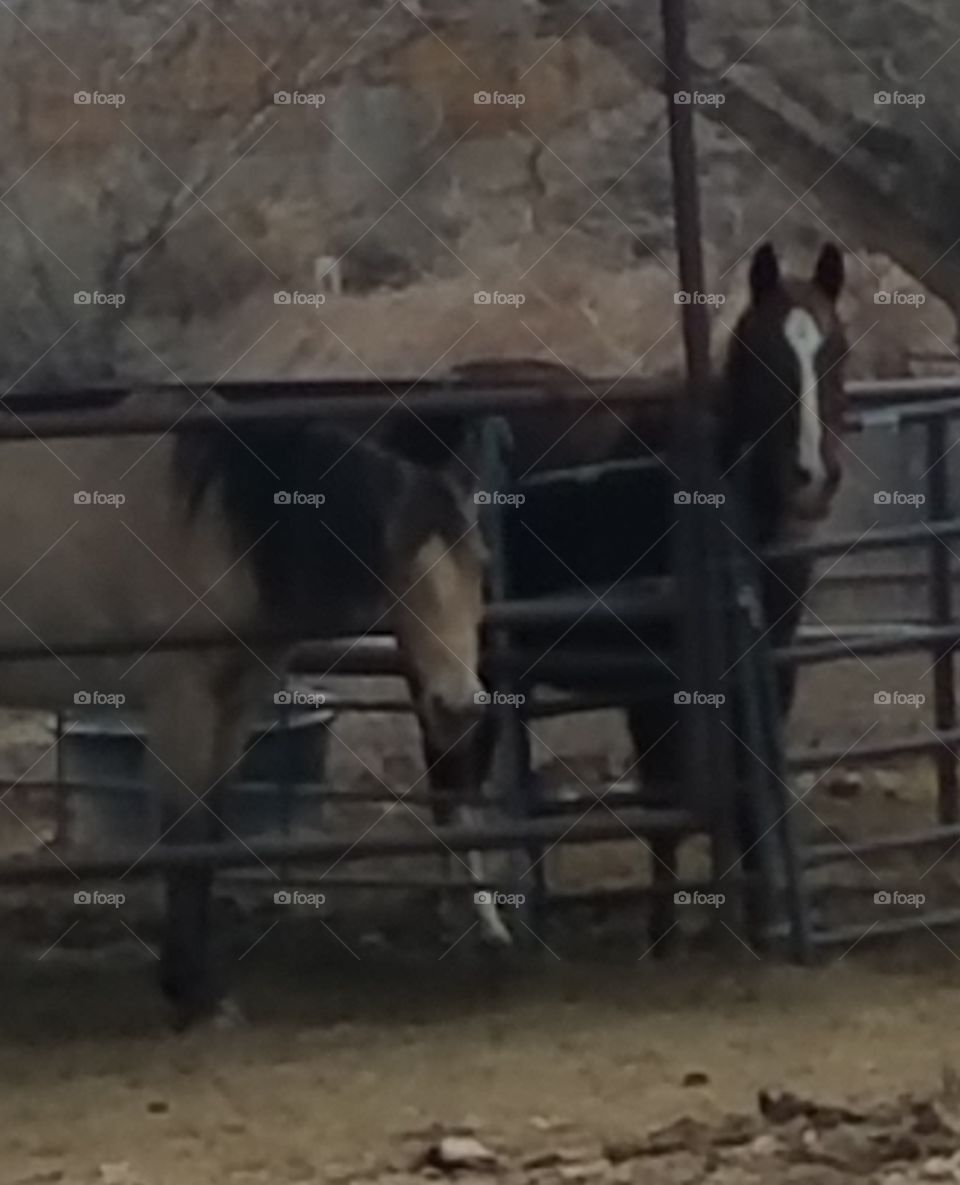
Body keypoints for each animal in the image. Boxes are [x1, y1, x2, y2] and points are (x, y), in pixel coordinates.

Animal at [0, 393, 493, 1023]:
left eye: (481, 564)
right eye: (400, 567)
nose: (458, 704)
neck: (213, 522)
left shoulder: (232, 707)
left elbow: (211, 832)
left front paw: (200, 987)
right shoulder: (181, 700)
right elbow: (185, 837)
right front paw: (191, 995)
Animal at [419, 240, 843, 943]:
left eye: (837, 350)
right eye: (765, 356)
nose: (813, 475)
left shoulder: (768, 668)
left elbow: (751, 787)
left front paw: (762, 923)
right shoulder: (654, 682)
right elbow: (665, 793)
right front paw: (663, 930)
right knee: (452, 777)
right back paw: (486, 923)